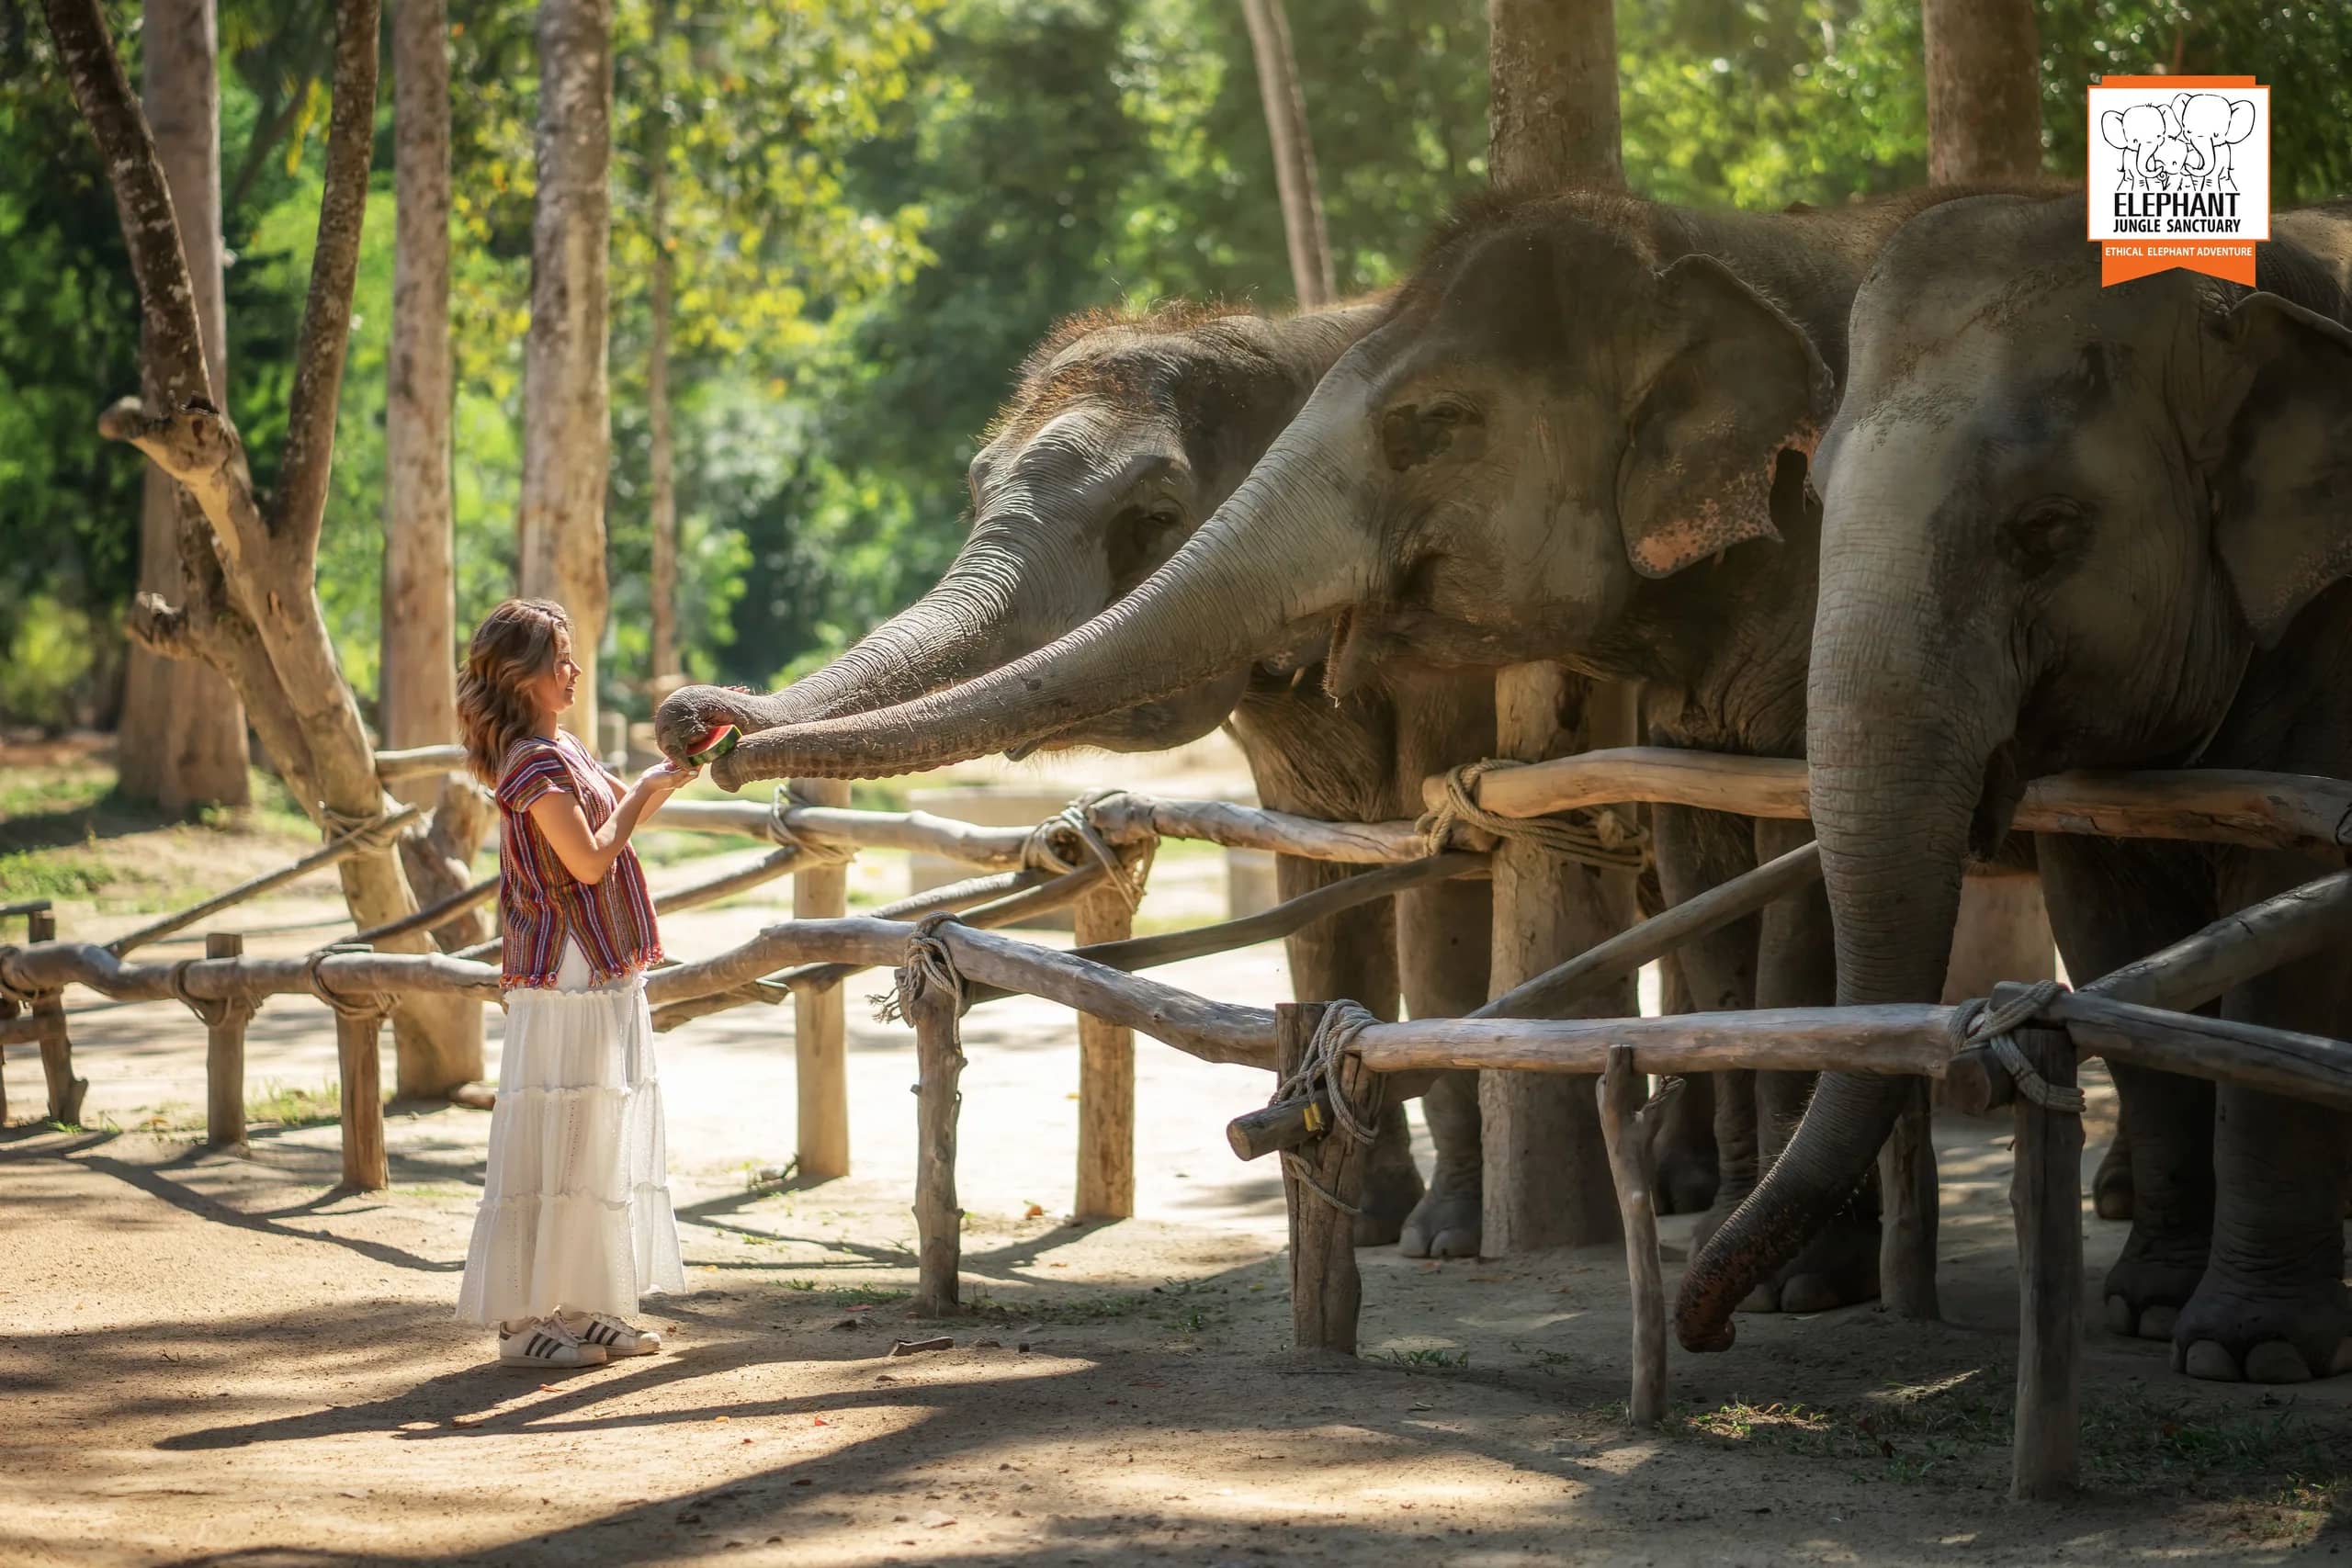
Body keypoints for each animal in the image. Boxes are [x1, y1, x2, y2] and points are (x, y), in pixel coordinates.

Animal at [656, 298, 1577, 1256]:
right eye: (977, 493)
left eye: (1156, 514)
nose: (698, 723)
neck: (1293, 336)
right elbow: (1320, 901)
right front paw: (1366, 1223)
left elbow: (1448, 899)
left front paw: (1444, 1236)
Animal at [1676, 190, 2352, 1384]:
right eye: (1813, 498)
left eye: (2043, 530)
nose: (1707, 1329)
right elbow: (2110, 935)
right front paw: (2145, 1311)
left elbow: (2289, 937)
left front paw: (2250, 1354)